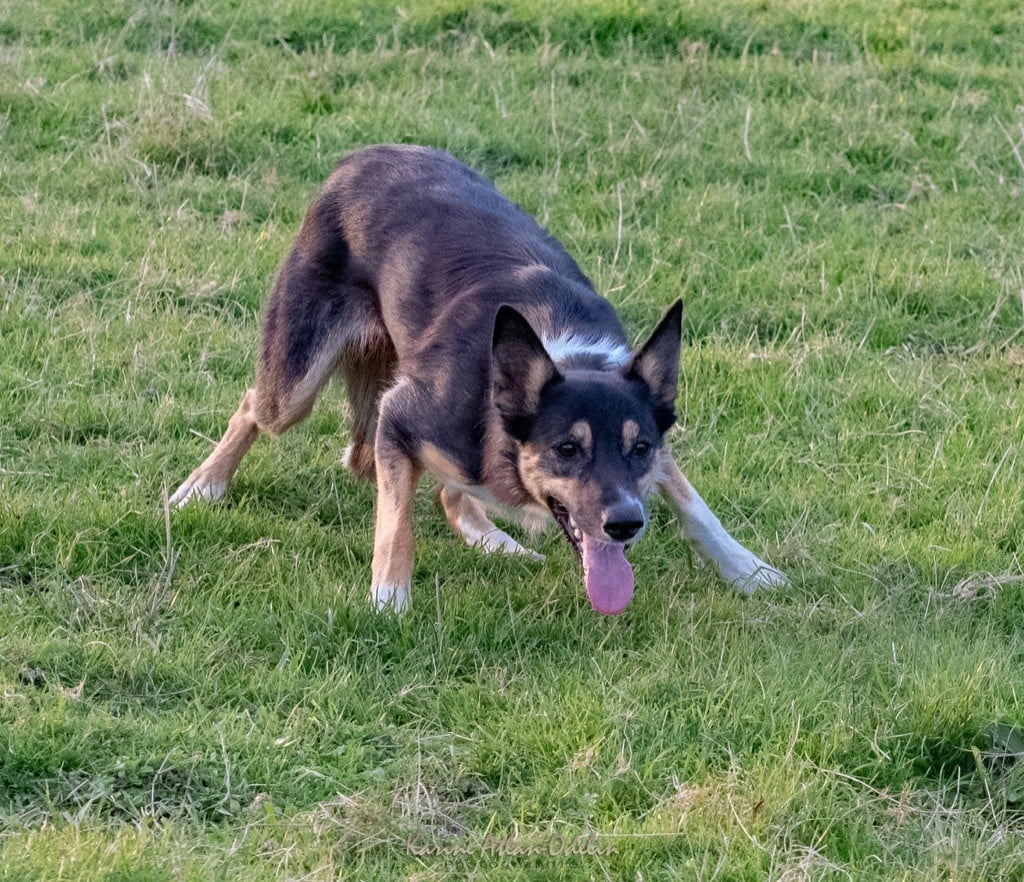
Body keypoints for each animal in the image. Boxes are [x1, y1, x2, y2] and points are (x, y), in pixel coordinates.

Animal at [170, 144, 786, 614]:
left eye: (640, 448)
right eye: (566, 448)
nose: (626, 525)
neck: (563, 356)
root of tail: (361, 157)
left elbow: (694, 503)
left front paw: (749, 569)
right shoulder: (399, 415)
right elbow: (396, 524)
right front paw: (389, 600)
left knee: (450, 491)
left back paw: (495, 539)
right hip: (294, 384)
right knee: (252, 404)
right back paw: (203, 485)